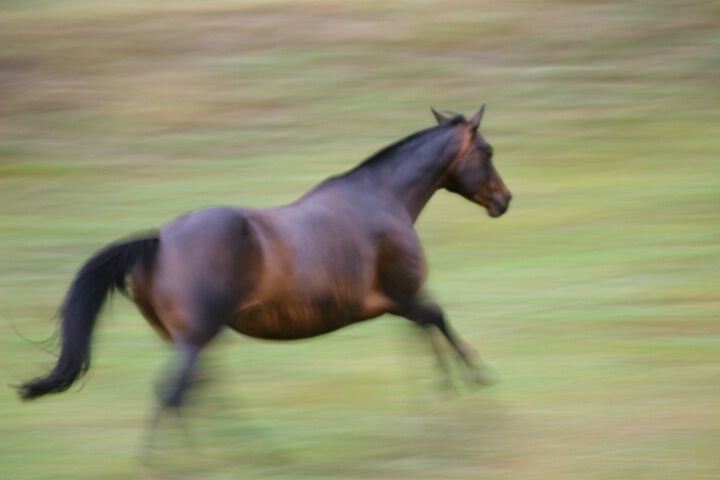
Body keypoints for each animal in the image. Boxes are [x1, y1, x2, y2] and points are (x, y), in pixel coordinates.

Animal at [18, 107, 512, 414]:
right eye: (488, 152)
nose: (505, 200)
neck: (382, 198)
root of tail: (157, 242)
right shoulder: (403, 295)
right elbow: (439, 319)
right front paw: (478, 381)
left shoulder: (399, 303)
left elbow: (424, 332)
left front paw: (443, 392)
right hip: (196, 339)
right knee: (176, 397)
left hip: (192, 339)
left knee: (202, 396)